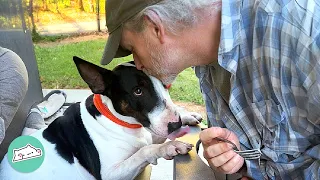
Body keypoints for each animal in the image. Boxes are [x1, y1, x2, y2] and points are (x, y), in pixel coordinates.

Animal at [0, 56, 201, 180]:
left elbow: (149, 142)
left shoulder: (149, 132)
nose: (176, 124)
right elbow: (145, 151)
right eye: (138, 91)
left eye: (165, 84)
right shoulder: (110, 174)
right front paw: (170, 147)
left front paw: (188, 115)